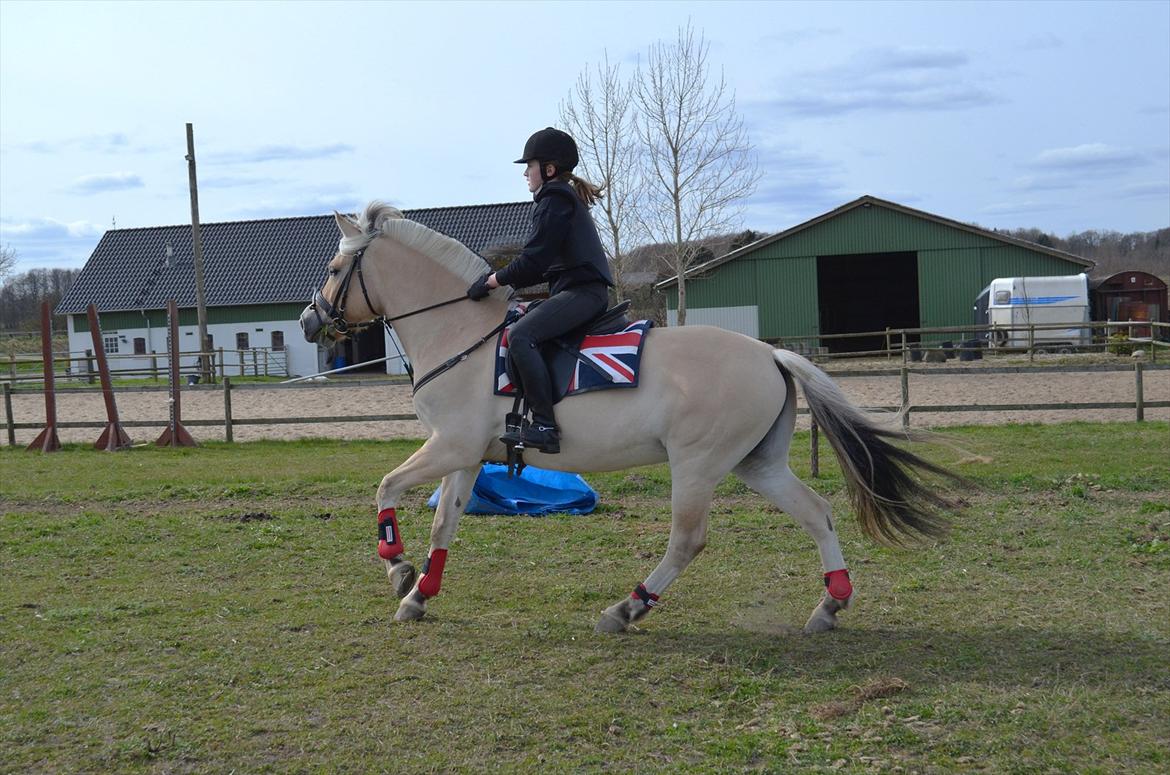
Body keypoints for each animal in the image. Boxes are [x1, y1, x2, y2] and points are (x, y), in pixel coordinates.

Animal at [299, 201, 959, 636]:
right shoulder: (465, 454)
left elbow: (386, 488)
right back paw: (829, 605)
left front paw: (397, 568)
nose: (310, 322)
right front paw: (419, 594)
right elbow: (444, 525)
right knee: (817, 513)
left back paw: (627, 608)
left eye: (333, 270)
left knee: (688, 540)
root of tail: (769, 353)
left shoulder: (449, 445)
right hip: (756, 464)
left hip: (697, 466)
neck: (464, 335)